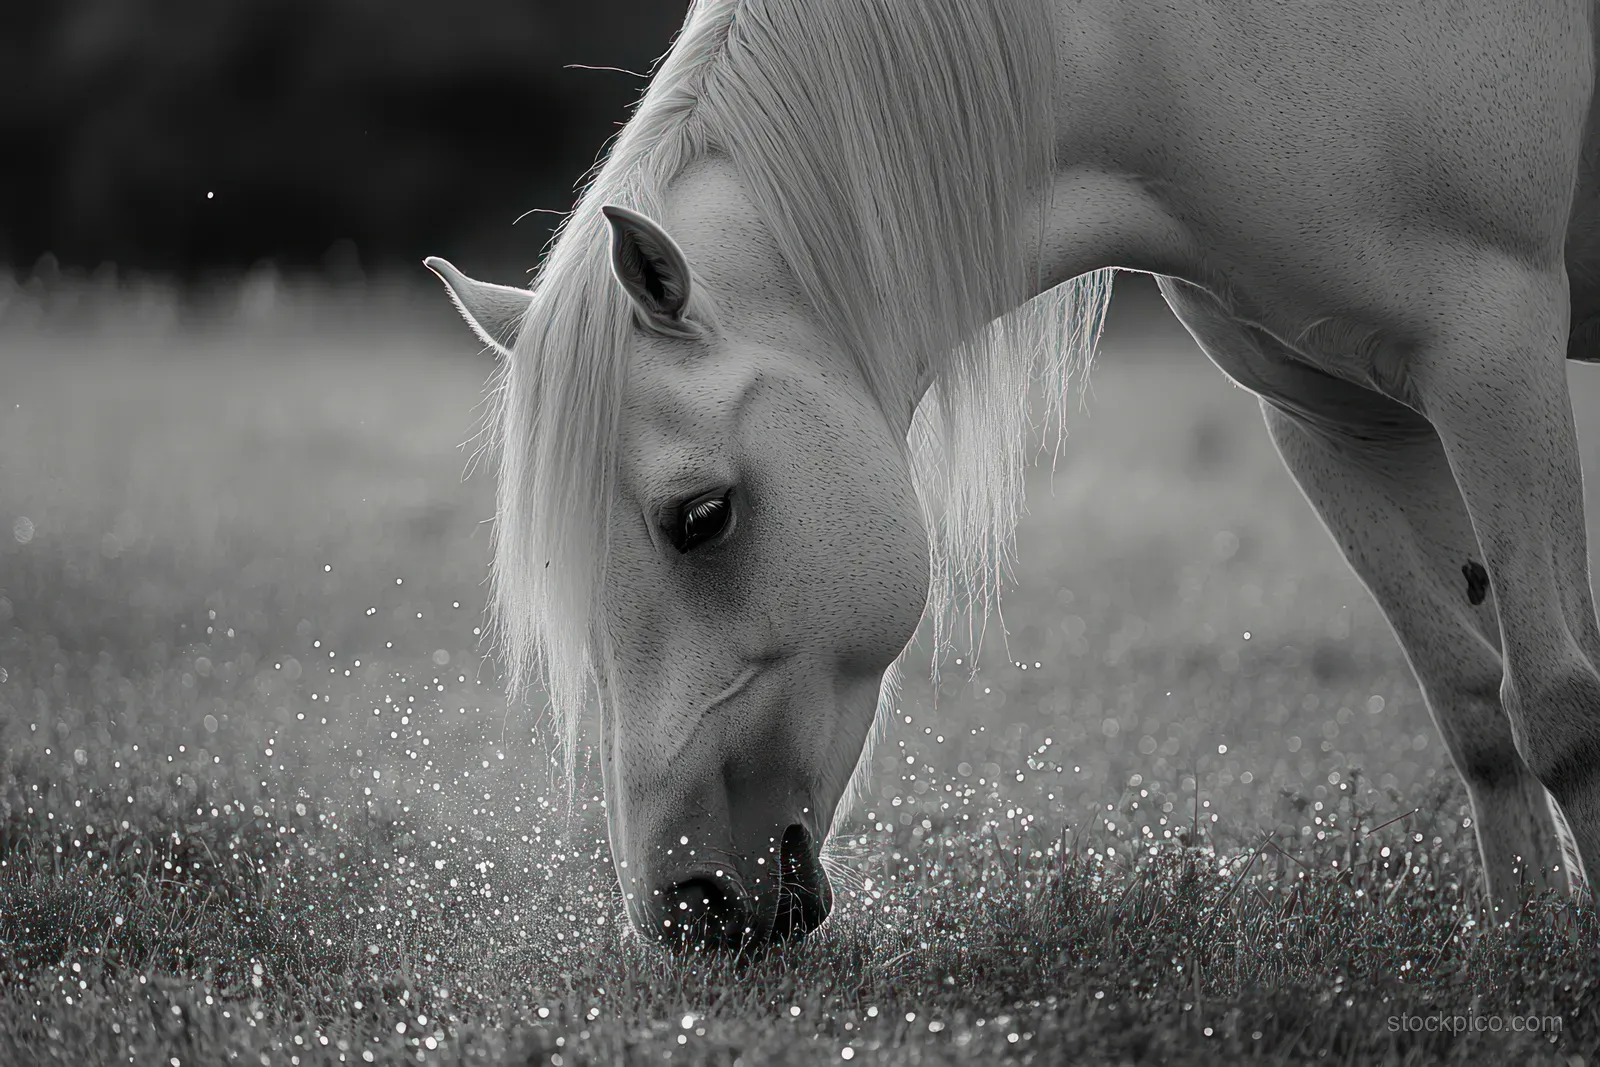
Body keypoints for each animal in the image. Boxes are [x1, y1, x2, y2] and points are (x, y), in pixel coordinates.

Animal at [427, 0, 1600, 950]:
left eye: (701, 516)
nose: (685, 908)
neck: (1168, 44)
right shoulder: (1328, 410)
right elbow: (1473, 707)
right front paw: (1528, 942)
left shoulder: (1491, 345)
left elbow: (1557, 703)